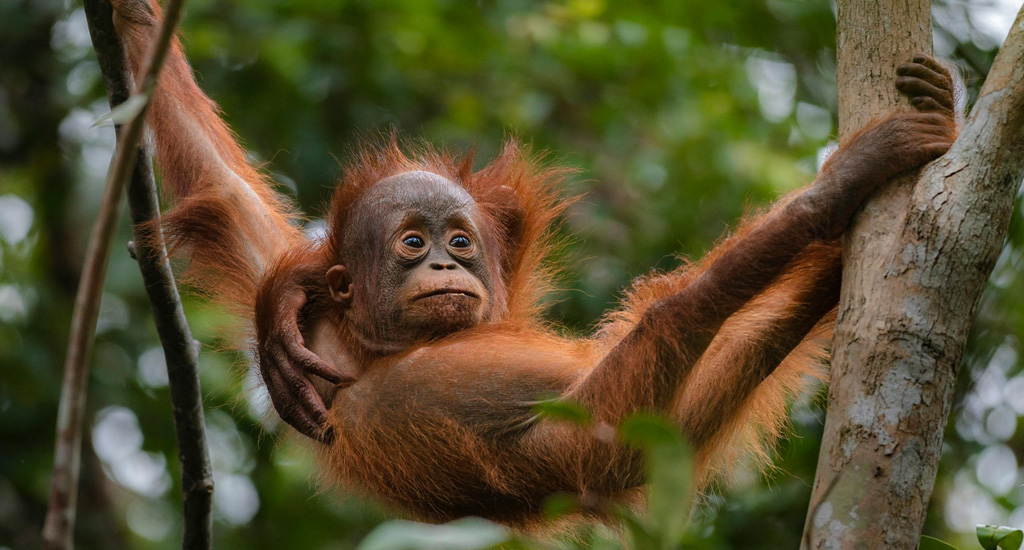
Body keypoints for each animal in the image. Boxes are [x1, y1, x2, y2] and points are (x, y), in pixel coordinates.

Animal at [111, 0, 960, 526]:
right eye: (412, 244)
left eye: (458, 241)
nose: (446, 270)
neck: (367, 345)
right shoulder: (400, 399)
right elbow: (601, 434)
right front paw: (838, 186)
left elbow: (219, 184)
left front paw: (132, 15)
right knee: (674, 325)